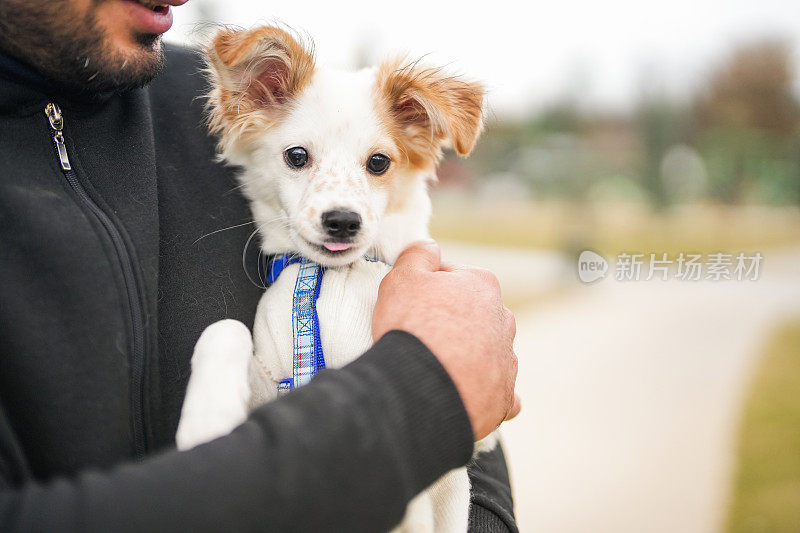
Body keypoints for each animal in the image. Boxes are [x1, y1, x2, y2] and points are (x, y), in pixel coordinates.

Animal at [177, 26, 490, 532]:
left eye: (379, 163)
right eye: (297, 156)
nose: (342, 221)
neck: (336, 277)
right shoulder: (278, 384)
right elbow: (223, 329)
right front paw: (205, 418)